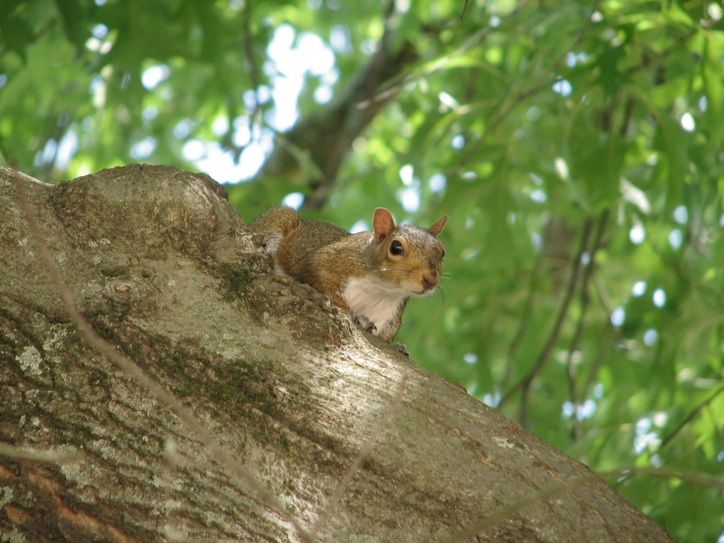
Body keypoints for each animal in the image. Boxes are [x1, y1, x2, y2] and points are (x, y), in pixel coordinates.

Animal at [250, 206, 447, 342]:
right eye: (396, 247)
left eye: (443, 252)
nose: (431, 280)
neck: (382, 288)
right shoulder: (331, 261)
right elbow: (318, 277)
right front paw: (356, 316)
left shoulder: (390, 314)